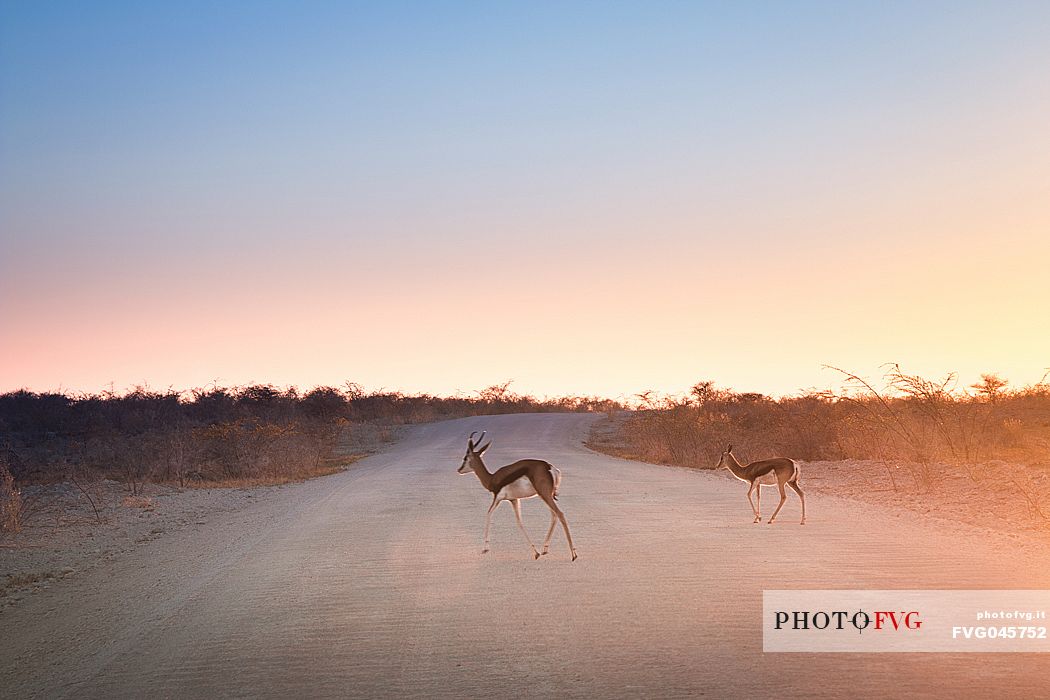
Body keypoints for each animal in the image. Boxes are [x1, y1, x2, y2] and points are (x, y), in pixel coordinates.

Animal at [455, 430, 579, 562]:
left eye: (465, 458)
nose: (459, 470)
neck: (492, 479)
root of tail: (550, 468)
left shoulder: (497, 498)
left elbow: (488, 514)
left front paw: (485, 549)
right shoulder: (514, 500)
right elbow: (519, 522)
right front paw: (536, 553)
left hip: (545, 495)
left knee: (560, 514)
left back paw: (573, 554)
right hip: (544, 495)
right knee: (554, 515)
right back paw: (545, 549)